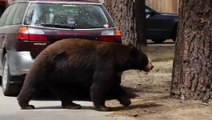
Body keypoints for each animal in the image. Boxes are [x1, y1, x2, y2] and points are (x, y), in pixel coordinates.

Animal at [16, 39, 152, 111]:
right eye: (146, 59)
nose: (152, 66)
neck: (118, 59)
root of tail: (42, 52)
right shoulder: (105, 65)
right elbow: (100, 85)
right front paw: (103, 107)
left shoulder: (114, 71)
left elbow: (114, 85)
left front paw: (126, 101)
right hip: (46, 66)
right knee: (33, 83)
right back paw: (26, 104)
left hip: (58, 75)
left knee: (61, 90)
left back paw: (73, 104)